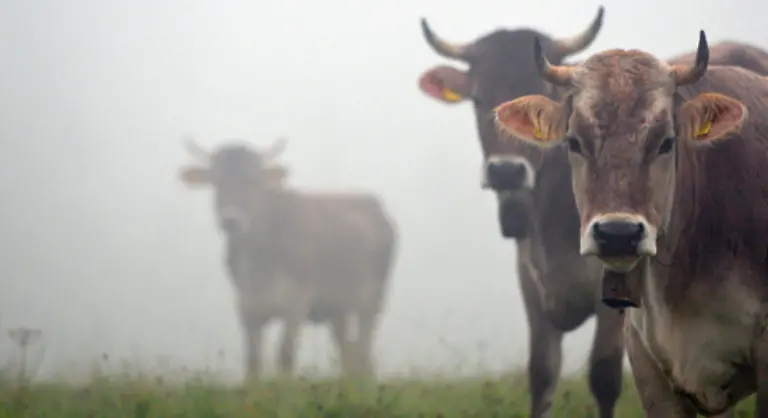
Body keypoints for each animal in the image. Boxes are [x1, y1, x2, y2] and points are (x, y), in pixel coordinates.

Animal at [178, 137, 398, 380]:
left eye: (254, 180)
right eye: (216, 181)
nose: (231, 220)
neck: (259, 263)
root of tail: (374, 204)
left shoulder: (296, 303)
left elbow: (285, 356)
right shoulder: (247, 306)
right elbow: (253, 361)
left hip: (372, 298)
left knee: (363, 346)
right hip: (337, 307)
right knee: (350, 352)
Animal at [417, 7, 624, 418]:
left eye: (543, 98)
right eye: (478, 98)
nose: (506, 172)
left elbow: (604, 376)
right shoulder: (532, 286)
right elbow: (542, 374)